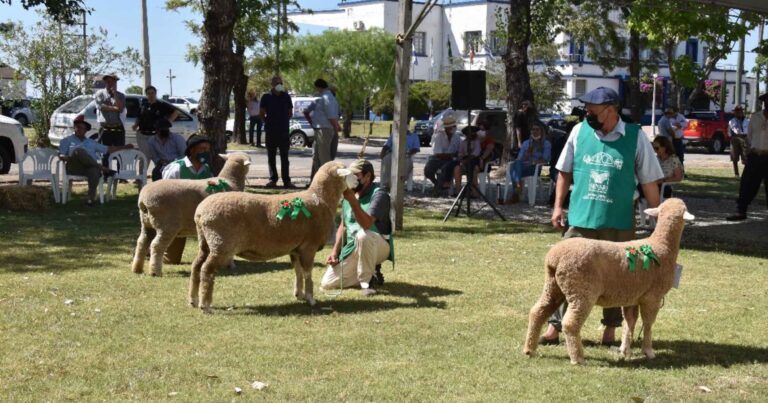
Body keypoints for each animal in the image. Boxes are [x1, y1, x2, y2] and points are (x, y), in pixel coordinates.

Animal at [188, 161, 356, 312]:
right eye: (347, 172)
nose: (357, 181)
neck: (321, 199)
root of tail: (200, 213)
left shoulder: (296, 248)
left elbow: (298, 272)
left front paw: (299, 294)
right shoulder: (309, 247)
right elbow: (308, 273)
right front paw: (310, 298)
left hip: (206, 242)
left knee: (196, 266)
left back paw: (193, 299)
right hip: (221, 244)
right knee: (207, 270)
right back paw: (205, 305)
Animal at [520, 199, 696, 366]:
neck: (662, 245)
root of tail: (554, 258)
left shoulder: (632, 296)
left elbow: (629, 322)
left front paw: (625, 350)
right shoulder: (652, 296)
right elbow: (648, 324)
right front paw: (648, 351)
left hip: (553, 286)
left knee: (537, 311)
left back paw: (529, 349)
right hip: (582, 290)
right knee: (570, 323)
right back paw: (577, 358)